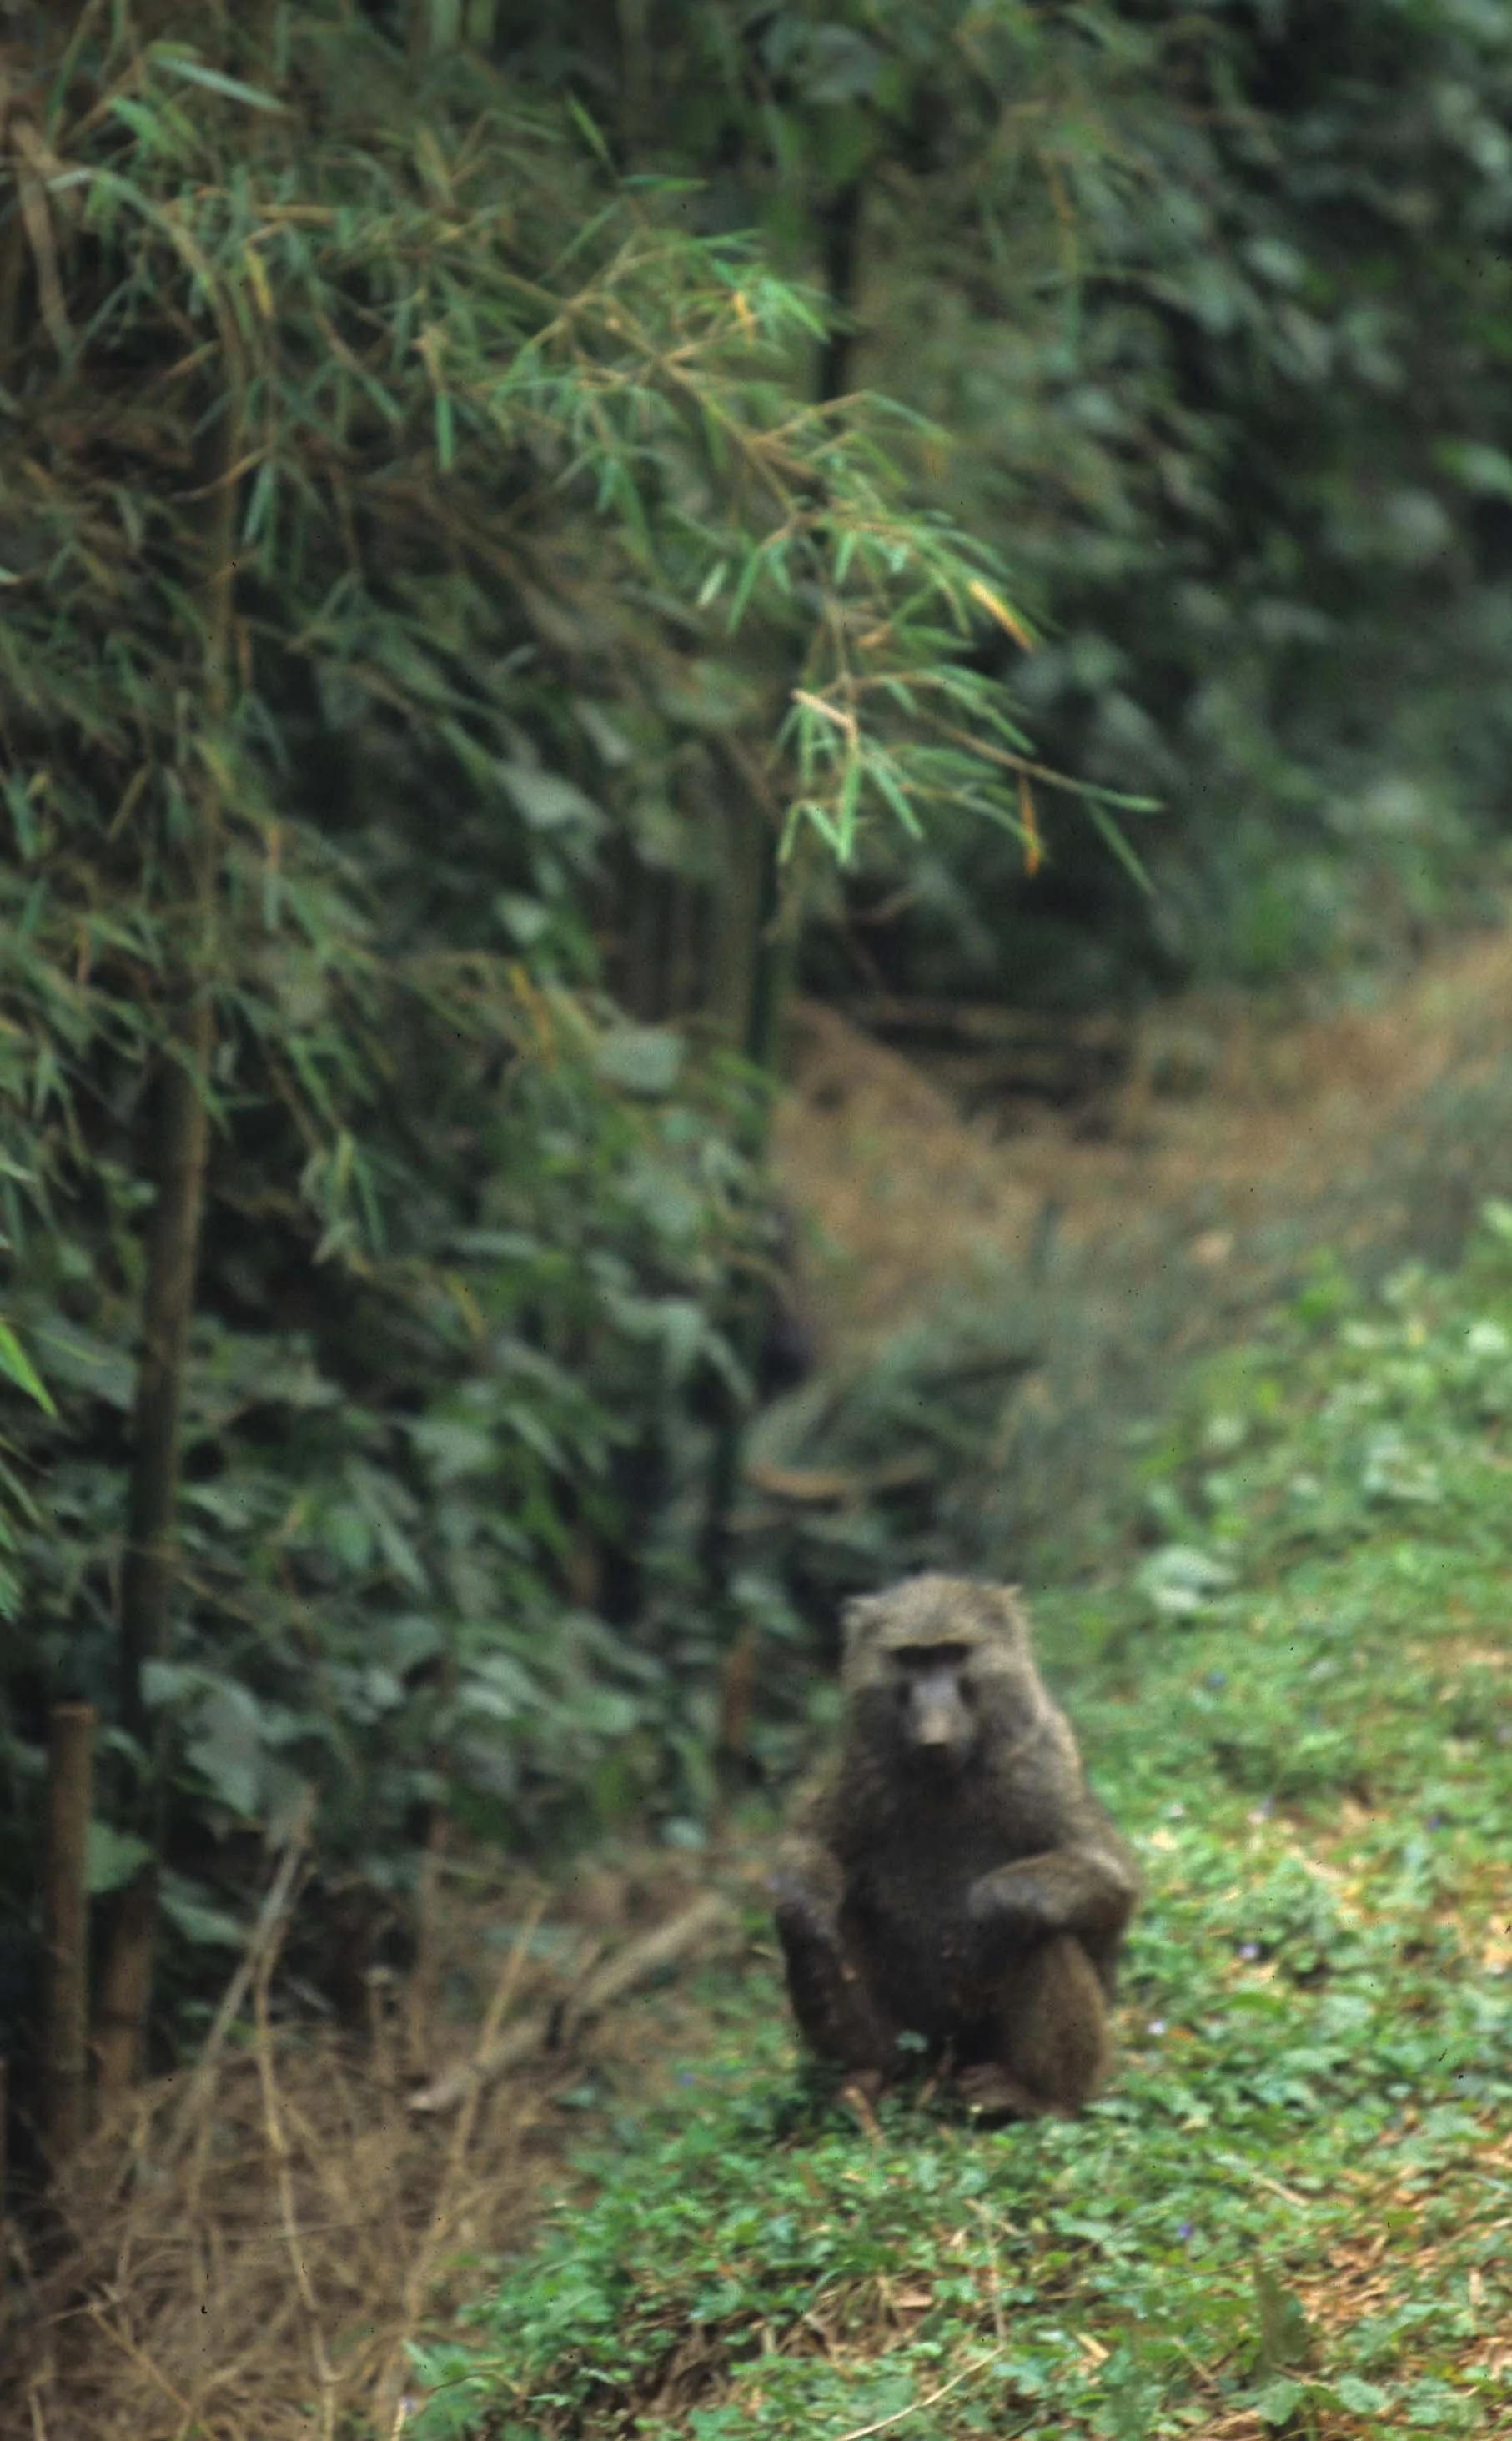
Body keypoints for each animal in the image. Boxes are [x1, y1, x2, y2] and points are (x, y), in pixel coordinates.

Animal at [769, 1574, 1139, 2119]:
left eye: (952, 1654)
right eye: (912, 1659)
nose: (933, 1732)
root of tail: (945, 2055)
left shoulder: (1034, 1767)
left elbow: (1110, 1877)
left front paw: (985, 1916)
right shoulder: (864, 1770)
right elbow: (810, 1847)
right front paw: (807, 1918)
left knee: (1043, 1935)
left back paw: (1035, 2096)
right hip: (914, 2035)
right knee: (832, 1933)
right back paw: (867, 2075)